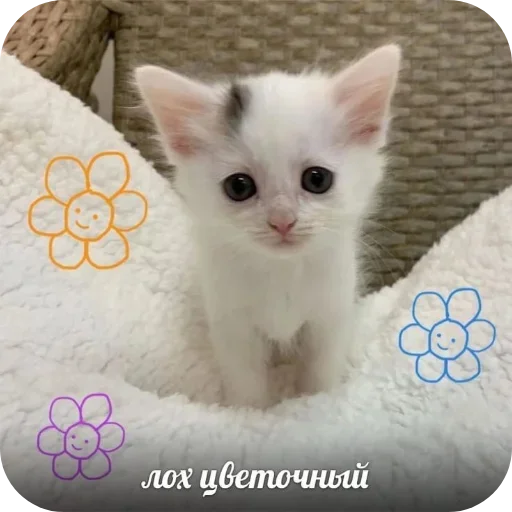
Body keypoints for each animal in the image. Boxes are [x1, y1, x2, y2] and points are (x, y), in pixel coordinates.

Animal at [135, 44, 401, 409]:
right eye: (239, 187)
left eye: (317, 180)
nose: (282, 220)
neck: (281, 271)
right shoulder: (231, 321)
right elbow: (245, 379)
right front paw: (251, 413)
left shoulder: (330, 313)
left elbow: (321, 370)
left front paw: (315, 402)